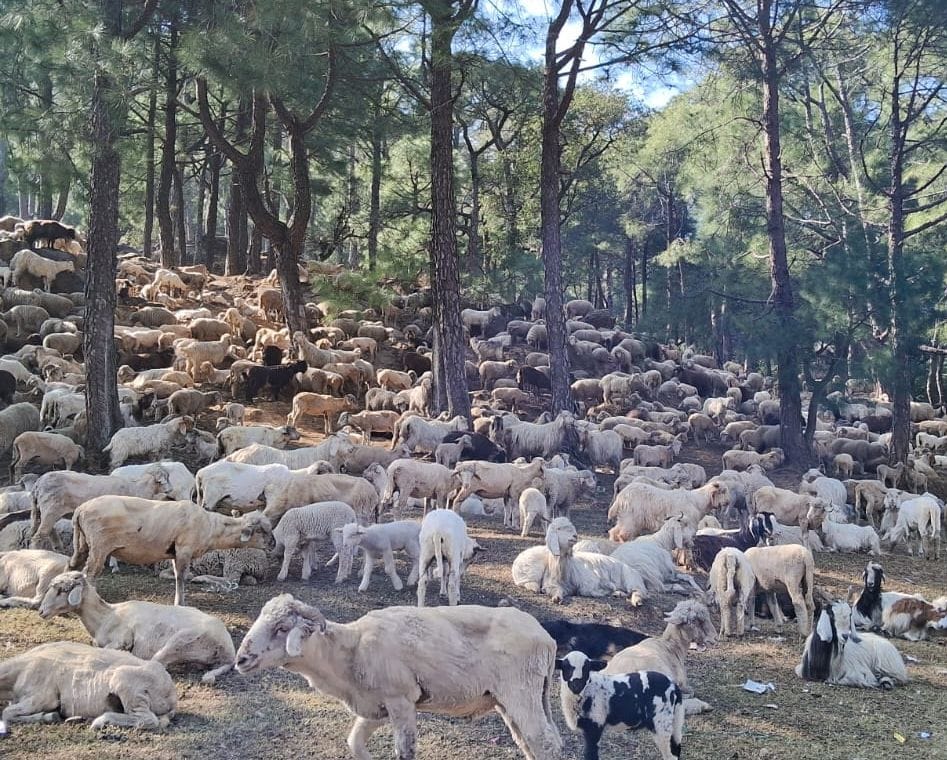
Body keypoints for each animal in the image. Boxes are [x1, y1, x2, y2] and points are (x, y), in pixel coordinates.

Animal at [0, 641, 176, 730]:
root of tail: (171, 694)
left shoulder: (41, 698)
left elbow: (6, 713)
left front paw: (48, 716)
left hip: (128, 684)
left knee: (147, 720)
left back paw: (101, 721)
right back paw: (78, 718)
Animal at [37, 570, 236, 684]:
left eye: (61, 590)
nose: (41, 611)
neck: (106, 616)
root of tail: (229, 650)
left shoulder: (122, 639)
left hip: (182, 641)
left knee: (157, 662)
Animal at [69, 496, 272, 606]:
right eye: (262, 530)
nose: (273, 545)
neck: (211, 528)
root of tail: (80, 509)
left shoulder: (175, 553)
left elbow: (177, 576)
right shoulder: (184, 549)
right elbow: (181, 578)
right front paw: (180, 603)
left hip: (83, 543)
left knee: (73, 567)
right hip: (99, 546)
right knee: (90, 574)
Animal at [234, 594, 562, 759]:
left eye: (281, 628)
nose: (241, 660)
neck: (349, 650)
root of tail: (546, 638)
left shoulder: (401, 699)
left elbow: (405, 750)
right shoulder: (377, 706)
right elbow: (355, 743)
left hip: (521, 690)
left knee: (544, 742)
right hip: (507, 700)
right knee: (530, 742)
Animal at [512, 518, 647, 606]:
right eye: (559, 528)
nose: (575, 536)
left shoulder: (589, 582)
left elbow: (588, 590)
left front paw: (605, 590)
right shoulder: (552, 585)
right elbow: (555, 591)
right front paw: (556, 598)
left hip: (630, 578)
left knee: (638, 591)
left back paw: (636, 600)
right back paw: (620, 594)